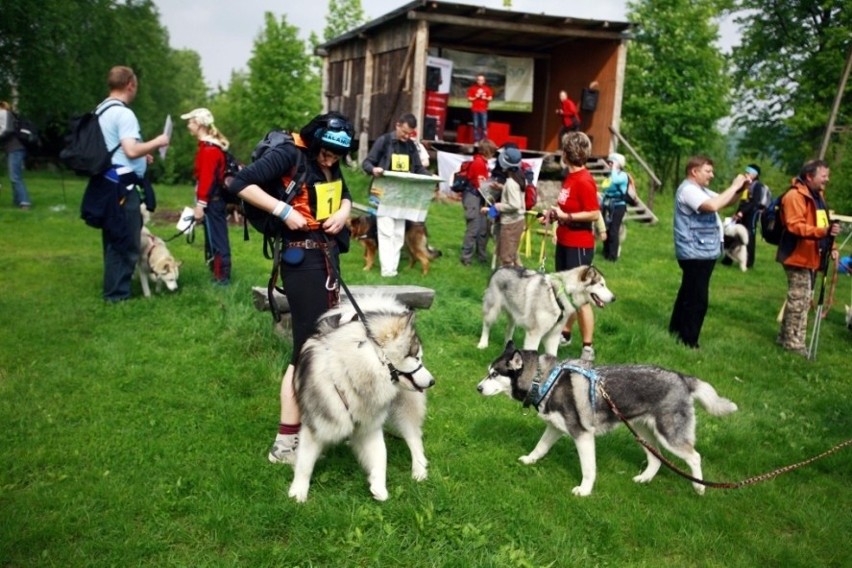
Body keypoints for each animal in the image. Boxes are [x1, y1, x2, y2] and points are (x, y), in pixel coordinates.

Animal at [290, 296, 436, 504]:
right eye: (416, 358)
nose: (432, 381)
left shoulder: (371, 425)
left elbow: (381, 456)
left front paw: (379, 486)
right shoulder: (316, 424)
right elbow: (304, 463)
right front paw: (298, 491)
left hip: (404, 408)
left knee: (414, 437)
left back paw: (419, 469)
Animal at [476, 342, 736, 496]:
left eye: (494, 374)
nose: (477, 388)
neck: (544, 379)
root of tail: (682, 377)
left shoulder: (582, 435)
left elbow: (588, 468)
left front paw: (584, 490)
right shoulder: (555, 428)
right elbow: (540, 447)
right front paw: (530, 460)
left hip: (669, 434)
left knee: (694, 456)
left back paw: (698, 487)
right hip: (643, 433)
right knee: (657, 458)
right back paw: (645, 479)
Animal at [480, 266, 612, 356]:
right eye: (601, 285)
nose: (614, 298)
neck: (560, 293)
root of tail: (500, 267)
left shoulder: (553, 336)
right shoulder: (534, 334)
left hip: (514, 315)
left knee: (508, 330)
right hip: (492, 311)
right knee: (486, 326)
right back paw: (482, 344)